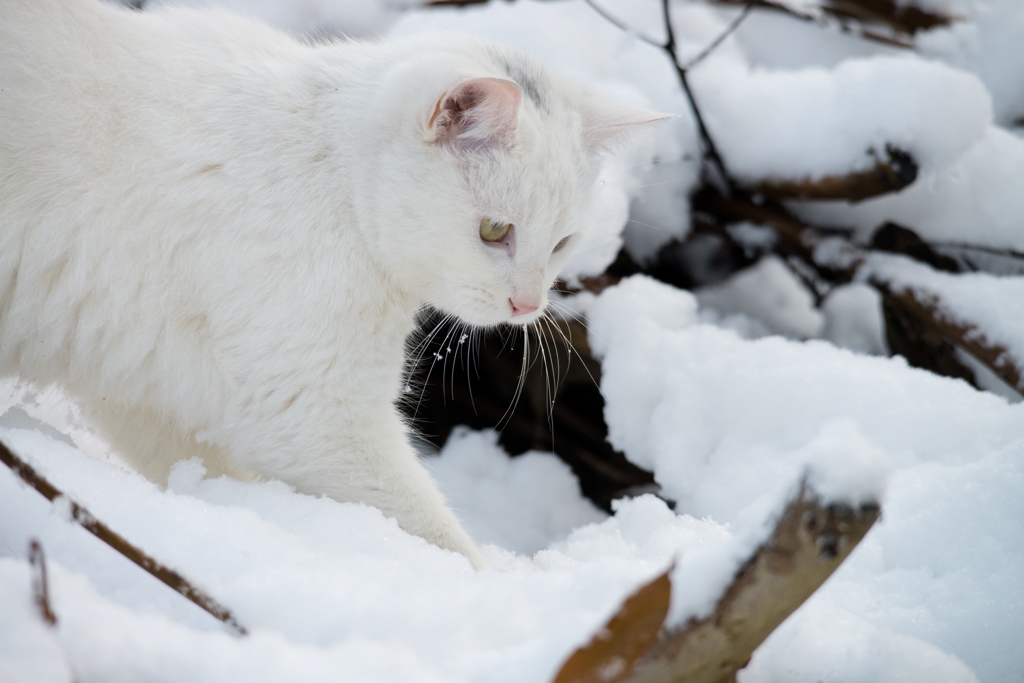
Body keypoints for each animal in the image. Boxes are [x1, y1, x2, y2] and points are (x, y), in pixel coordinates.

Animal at [0, 0, 667, 569]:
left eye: (563, 243)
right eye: (494, 230)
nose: (527, 304)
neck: (331, 168)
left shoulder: (139, 380)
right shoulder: (314, 412)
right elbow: (435, 538)